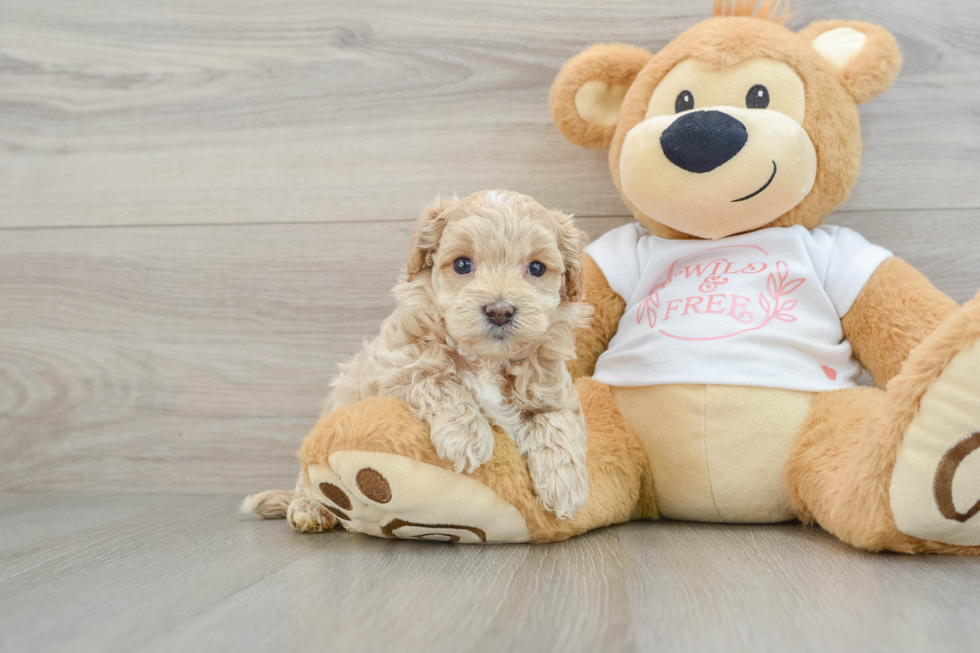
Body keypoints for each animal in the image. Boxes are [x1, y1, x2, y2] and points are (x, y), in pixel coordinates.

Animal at [249, 188, 592, 524]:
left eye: (537, 268)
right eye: (462, 264)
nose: (499, 310)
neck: (487, 359)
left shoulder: (556, 392)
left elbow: (556, 421)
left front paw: (565, 487)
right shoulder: (393, 370)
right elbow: (438, 381)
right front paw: (467, 438)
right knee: (308, 484)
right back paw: (309, 509)